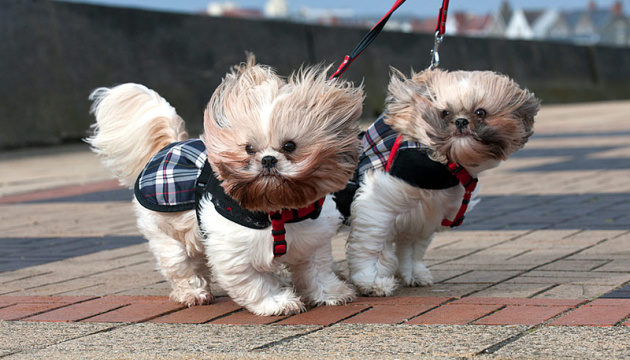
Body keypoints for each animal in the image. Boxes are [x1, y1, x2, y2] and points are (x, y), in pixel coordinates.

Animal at [88, 55, 366, 316]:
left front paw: (330, 293)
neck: (276, 210)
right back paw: (193, 293)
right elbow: (256, 282)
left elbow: (315, 271)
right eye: (248, 149)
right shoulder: (234, 252)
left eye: (289, 146)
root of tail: (170, 145)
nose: (268, 159)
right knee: (181, 265)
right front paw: (277, 302)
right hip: (164, 233)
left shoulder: (313, 242)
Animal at [346, 67, 544, 296]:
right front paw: (372, 281)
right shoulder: (377, 208)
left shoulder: (421, 217)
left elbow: (412, 250)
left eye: (480, 112)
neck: (442, 165)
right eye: (445, 113)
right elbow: (373, 249)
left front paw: (414, 274)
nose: (461, 121)